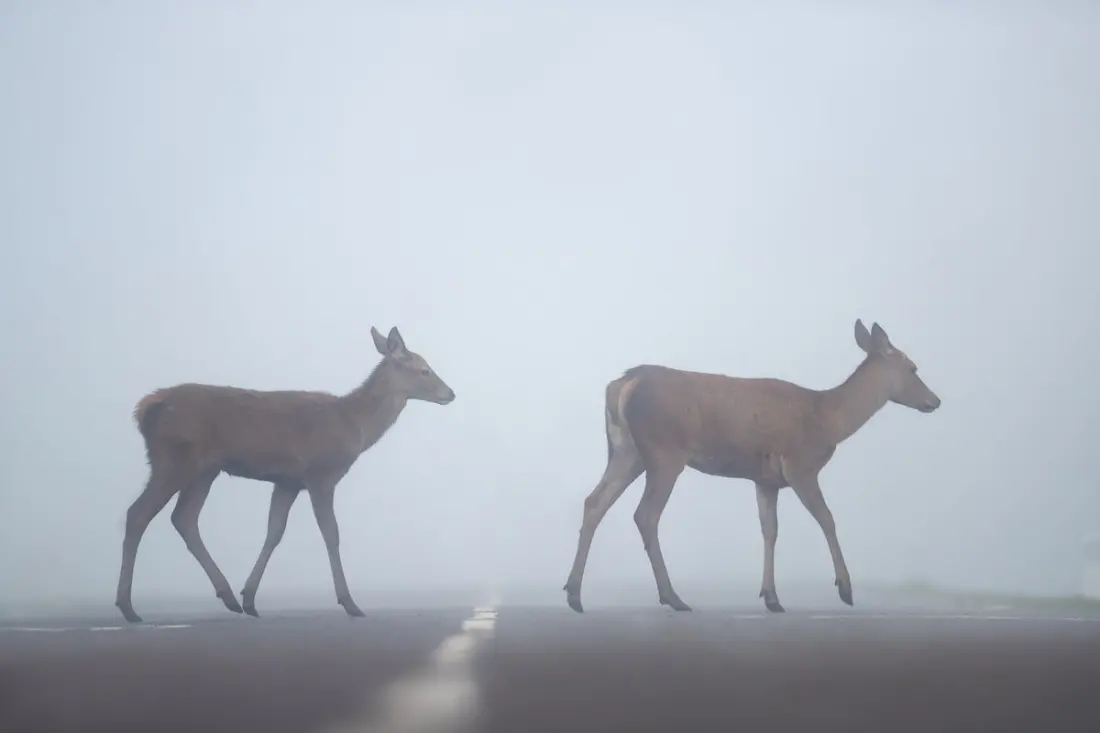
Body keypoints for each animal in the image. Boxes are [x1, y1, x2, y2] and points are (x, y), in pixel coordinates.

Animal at [115, 326, 455, 624]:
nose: (450, 393)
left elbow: (274, 532)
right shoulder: (320, 475)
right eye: (424, 370)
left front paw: (250, 597)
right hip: (173, 458)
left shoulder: (287, 482)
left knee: (183, 518)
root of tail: (146, 408)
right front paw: (350, 603)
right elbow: (331, 534)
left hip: (204, 469)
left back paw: (228, 596)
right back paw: (128, 606)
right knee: (138, 513)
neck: (355, 426)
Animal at [563, 319, 941, 614]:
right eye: (912, 367)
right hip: (664, 451)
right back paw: (672, 596)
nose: (935, 400)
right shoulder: (801, 465)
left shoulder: (766, 479)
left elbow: (769, 530)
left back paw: (574, 594)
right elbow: (827, 519)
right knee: (645, 514)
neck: (828, 419)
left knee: (594, 502)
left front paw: (771, 597)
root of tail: (624, 384)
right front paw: (845, 589)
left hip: (626, 452)